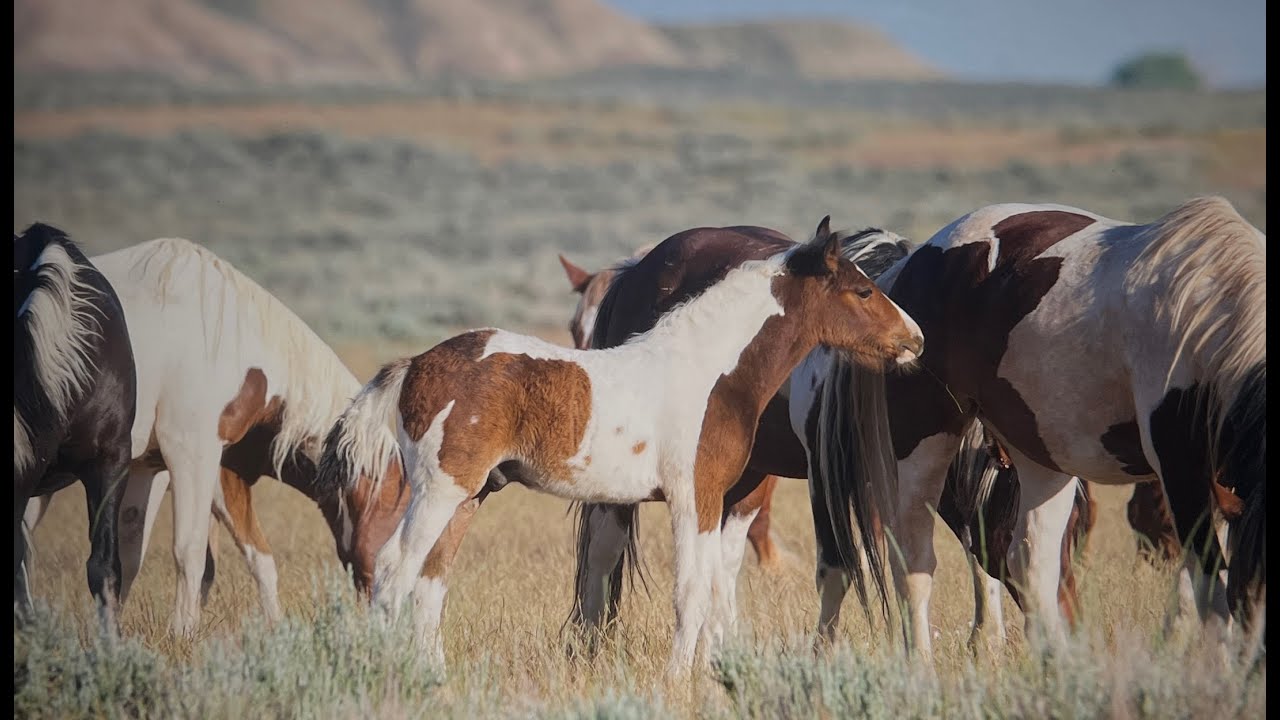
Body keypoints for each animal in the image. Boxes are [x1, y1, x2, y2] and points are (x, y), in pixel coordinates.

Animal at [23, 238, 409, 634]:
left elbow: (149, 556)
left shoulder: (171, 469)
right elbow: (189, 551)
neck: (226, 340)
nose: (395, 611)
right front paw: (181, 633)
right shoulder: (190, 454)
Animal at [316, 218, 924, 673]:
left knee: (431, 582)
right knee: (394, 569)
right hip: (440, 491)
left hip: (468, 497)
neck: (709, 371)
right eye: (864, 290)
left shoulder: (716, 502)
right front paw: (678, 680)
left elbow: (710, 588)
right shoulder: (693, 497)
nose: (915, 340)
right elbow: (690, 591)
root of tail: (414, 364)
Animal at [813, 197, 1265, 659]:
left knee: (1030, 563)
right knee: (914, 563)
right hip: (922, 443)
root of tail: (911, 263)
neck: (1210, 318)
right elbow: (1210, 593)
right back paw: (921, 666)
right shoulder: (1182, 470)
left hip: (1040, 457)